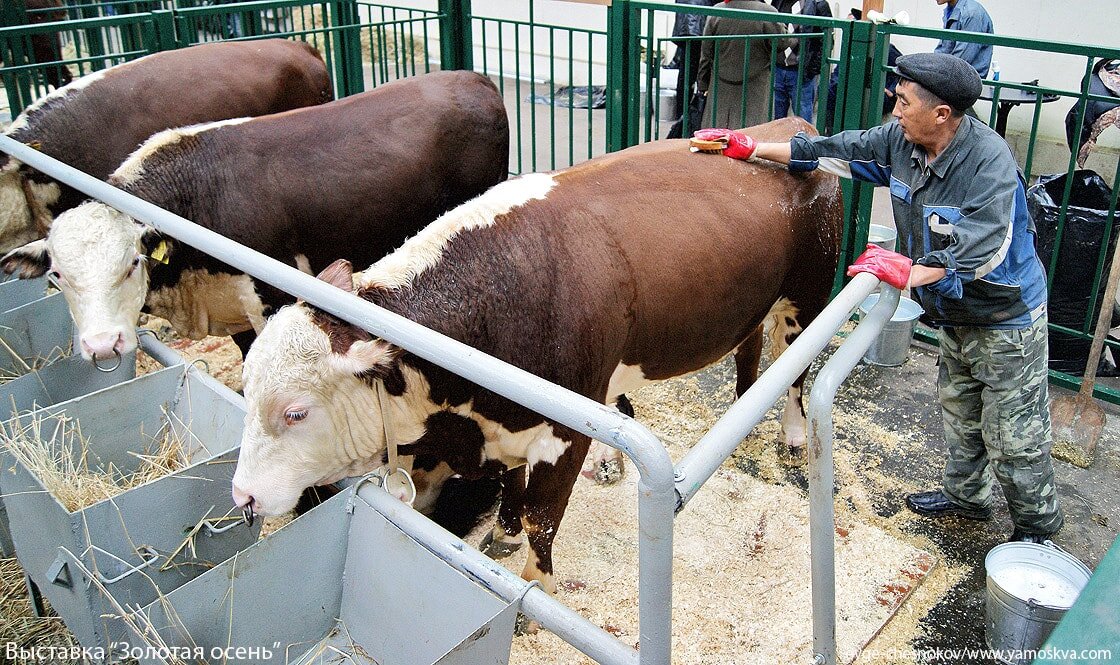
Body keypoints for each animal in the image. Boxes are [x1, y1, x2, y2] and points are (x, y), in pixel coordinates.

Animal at [0, 71, 508, 362]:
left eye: (132, 264)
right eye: (58, 275)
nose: (103, 345)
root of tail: (473, 79)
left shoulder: (272, 296)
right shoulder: (235, 311)